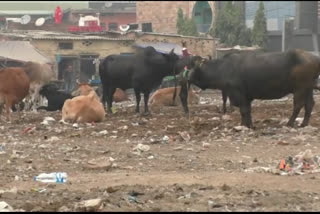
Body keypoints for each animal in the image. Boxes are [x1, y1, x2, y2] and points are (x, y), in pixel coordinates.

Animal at [181, 49, 320, 128]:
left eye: (195, 69)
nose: (187, 75)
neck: (223, 68)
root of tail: (315, 58)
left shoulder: (238, 93)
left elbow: (243, 110)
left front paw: (244, 125)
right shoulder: (246, 96)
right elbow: (248, 110)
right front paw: (249, 124)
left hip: (300, 88)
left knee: (298, 105)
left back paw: (290, 123)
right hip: (308, 88)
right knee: (309, 105)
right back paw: (303, 124)